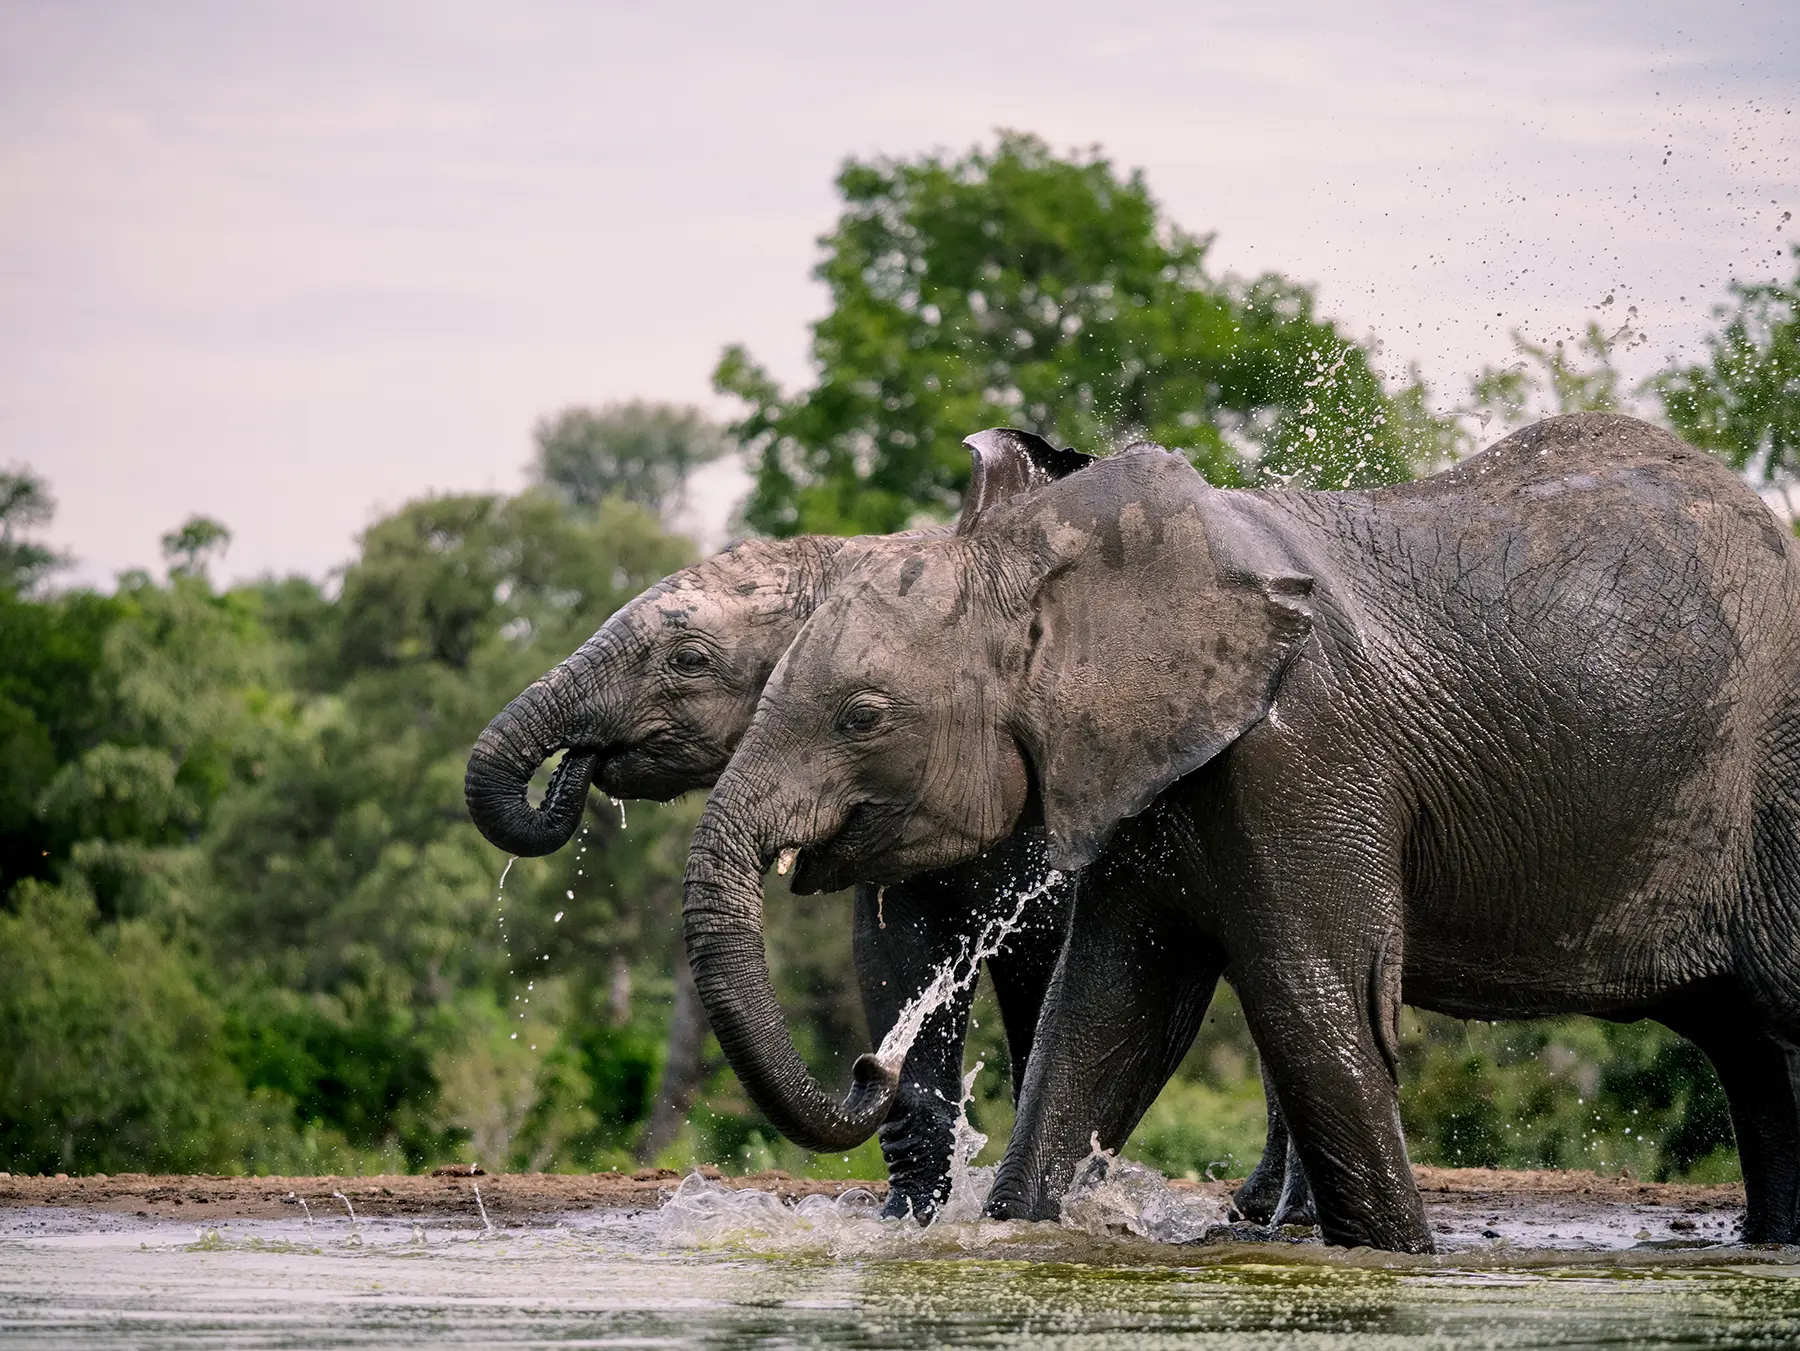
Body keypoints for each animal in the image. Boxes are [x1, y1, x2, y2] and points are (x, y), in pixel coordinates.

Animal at [679, 412, 1800, 1253]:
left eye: (861, 717)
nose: (868, 1070)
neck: (1066, 557)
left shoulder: (1301, 754)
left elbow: (1314, 1007)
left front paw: (1400, 1259)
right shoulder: (1145, 769)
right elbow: (1104, 1016)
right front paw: (1018, 1231)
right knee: (1752, 1044)